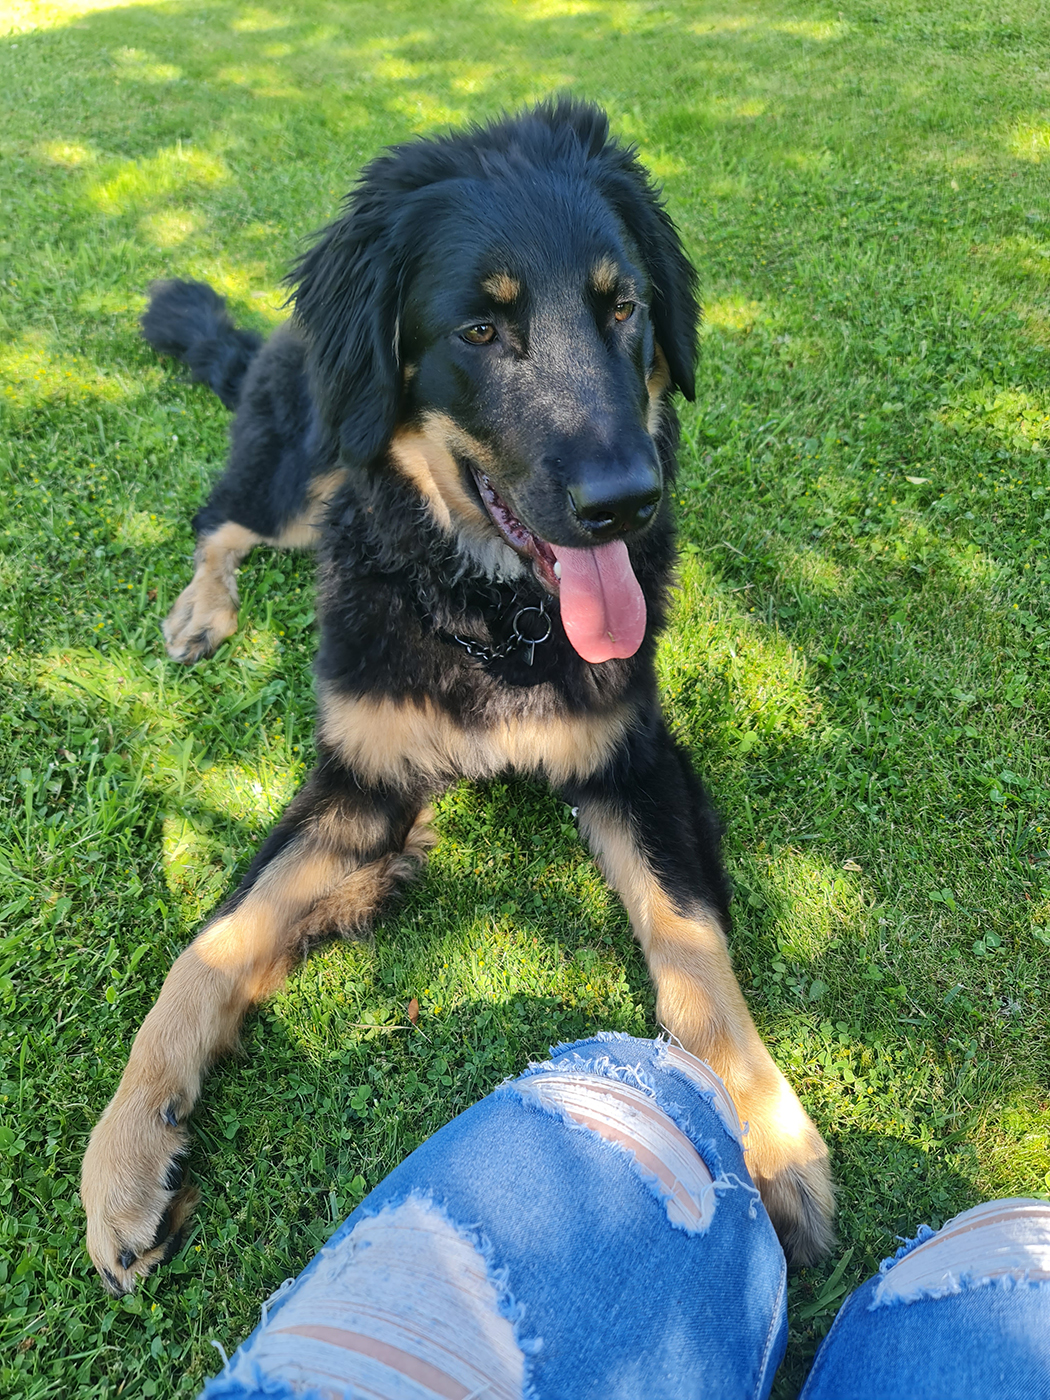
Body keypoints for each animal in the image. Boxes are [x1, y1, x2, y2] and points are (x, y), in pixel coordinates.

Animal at [80, 97, 834, 1295]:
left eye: (624, 307)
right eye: (480, 331)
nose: (628, 502)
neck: (492, 614)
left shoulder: (637, 757)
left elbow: (689, 940)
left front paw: (773, 1139)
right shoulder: (361, 783)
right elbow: (212, 943)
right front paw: (122, 1155)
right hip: (303, 478)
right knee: (224, 520)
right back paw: (202, 611)